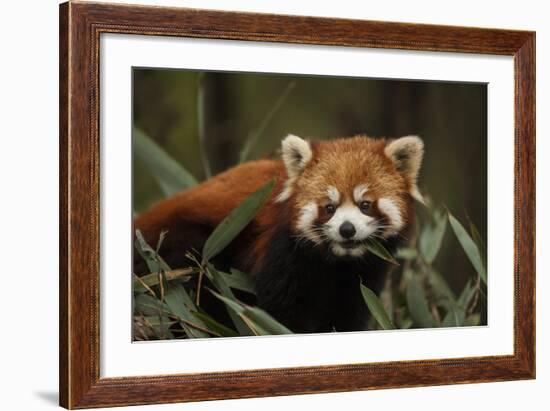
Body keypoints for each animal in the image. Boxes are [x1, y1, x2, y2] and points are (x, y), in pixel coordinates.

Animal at [135, 135, 426, 334]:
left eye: (365, 204)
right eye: (329, 207)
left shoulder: (365, 273)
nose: (347, 229)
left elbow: (349, 311)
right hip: (186, 248)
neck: (336, 262)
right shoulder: (282, 251)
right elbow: (283, 311)